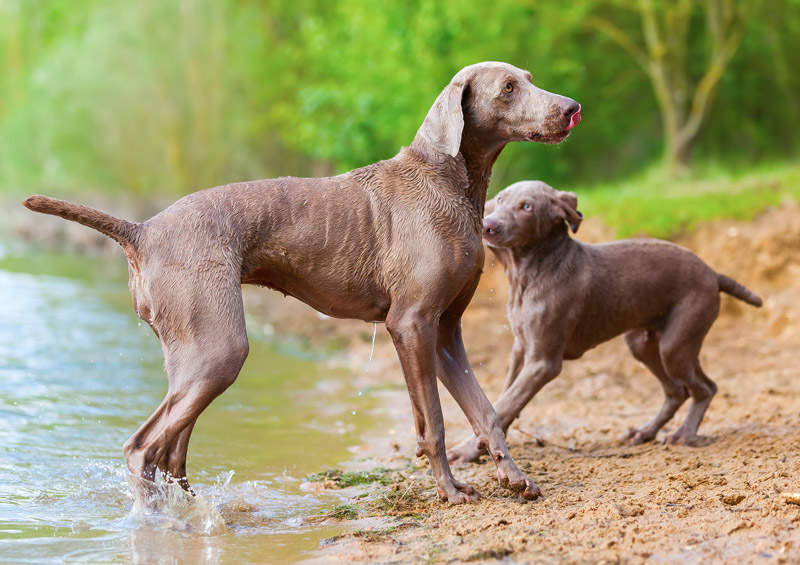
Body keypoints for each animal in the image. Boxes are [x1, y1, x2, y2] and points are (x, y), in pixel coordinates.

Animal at [20, 62, 580, 502]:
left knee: (170, 450)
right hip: (219, 348)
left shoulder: (445, 333)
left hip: (193, 354)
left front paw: (515, 479)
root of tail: (143, 229)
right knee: (142, 447)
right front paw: (448, 491)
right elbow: (435, 422)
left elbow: (486, 412)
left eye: (531, 80)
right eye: (508, 87)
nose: (573, 107)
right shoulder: (411, 323)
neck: (447, 180)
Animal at [450, 180, 764, 462]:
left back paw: (683, 435)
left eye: (527, 207)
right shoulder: (520, 350)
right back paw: (644, 432)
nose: (488, 226)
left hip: (676, 343)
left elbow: (506, 403)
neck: (530, 272)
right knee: (677, 390)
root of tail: (713, 273)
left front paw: (465, 451)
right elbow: (504, 401)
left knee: (704, 388)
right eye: (500, 199)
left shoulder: (542, 362)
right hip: (644, 344)